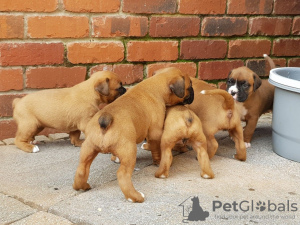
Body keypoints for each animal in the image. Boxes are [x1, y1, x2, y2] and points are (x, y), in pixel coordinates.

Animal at [73, 67, 195, 203]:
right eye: (190, 86)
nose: (193, 93)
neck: (155, 85)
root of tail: (105, 119)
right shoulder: (155, 133)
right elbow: (156, 149)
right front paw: (158, 161)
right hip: (129, 152)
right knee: (123, 175)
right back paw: (135, 196)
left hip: (88, 148)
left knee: (82, 170)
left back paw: (83, 186)